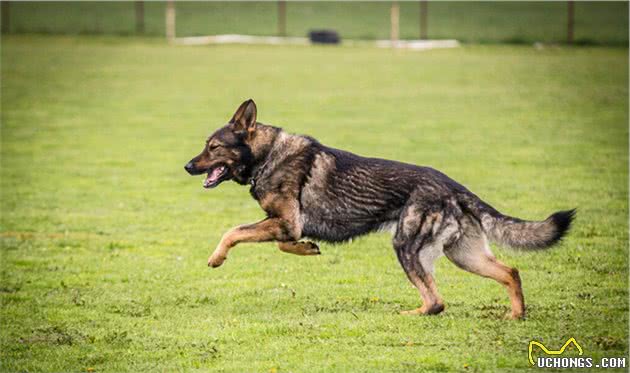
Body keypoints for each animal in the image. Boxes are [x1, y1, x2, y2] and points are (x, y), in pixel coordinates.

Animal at [185, 98, 576, 316]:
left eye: (214, 147)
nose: (187, 166)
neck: (267, 155)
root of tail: (454, 187)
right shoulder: (285, 225)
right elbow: (283, 243)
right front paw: (307, 248)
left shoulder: (285, 222)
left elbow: (234, 231)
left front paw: (217, 258)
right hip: (462, 255)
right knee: (510, 272)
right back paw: (515, 316)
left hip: (407, 246)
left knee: (436, 302)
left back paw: (411, 313)